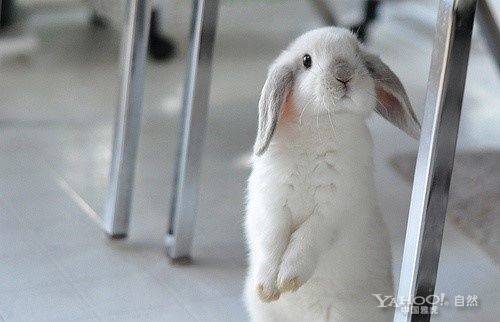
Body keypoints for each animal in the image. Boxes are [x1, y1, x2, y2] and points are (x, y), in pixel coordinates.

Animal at [244, 25, 420, 322]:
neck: (322, 125)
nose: (344, 75)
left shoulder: (332, 209)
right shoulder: (273, 204)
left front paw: (289, 279)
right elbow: (272, 239)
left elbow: (306, 238)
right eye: (306, 61)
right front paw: (268, 288)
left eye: (358, 56)